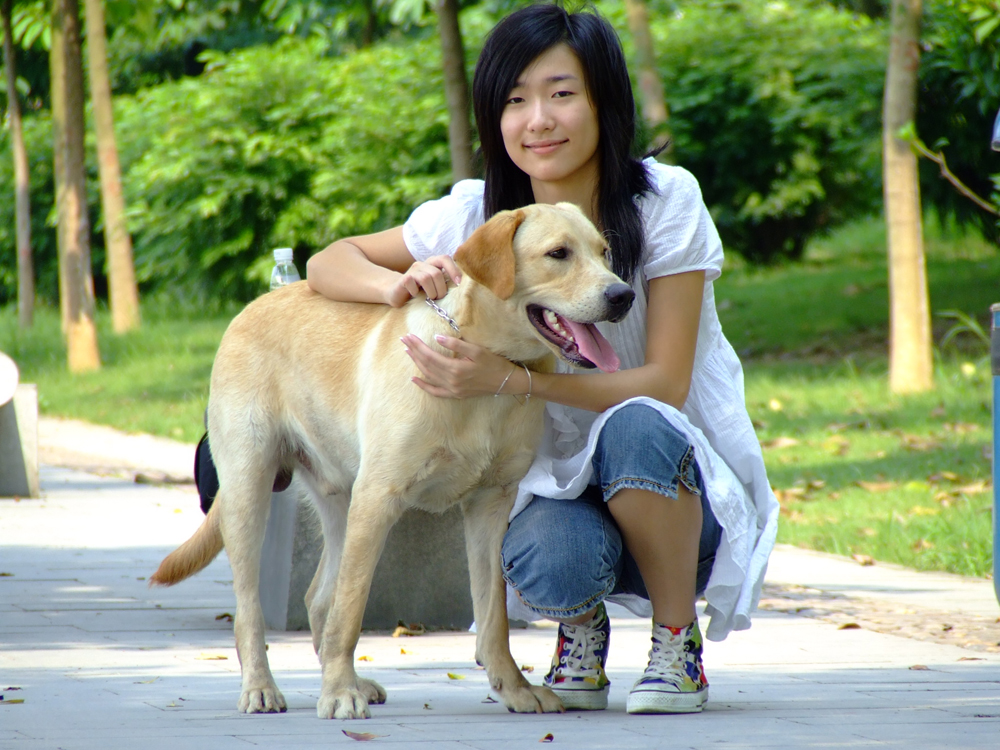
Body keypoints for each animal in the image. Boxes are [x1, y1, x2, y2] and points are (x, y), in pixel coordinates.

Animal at [150, 203, 632, 720]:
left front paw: (514, 688)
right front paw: (339, 694)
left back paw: (348, 679)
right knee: (254, 609)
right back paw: (264, 686)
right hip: (251, 489)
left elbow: (493, 615)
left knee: (319, 598)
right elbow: (351, 611)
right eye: (558, 254)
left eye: (604, 252)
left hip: (340, 500)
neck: (487, 364)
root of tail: (252, 305)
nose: (621, 294)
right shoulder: (379, 496)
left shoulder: (490, 505)